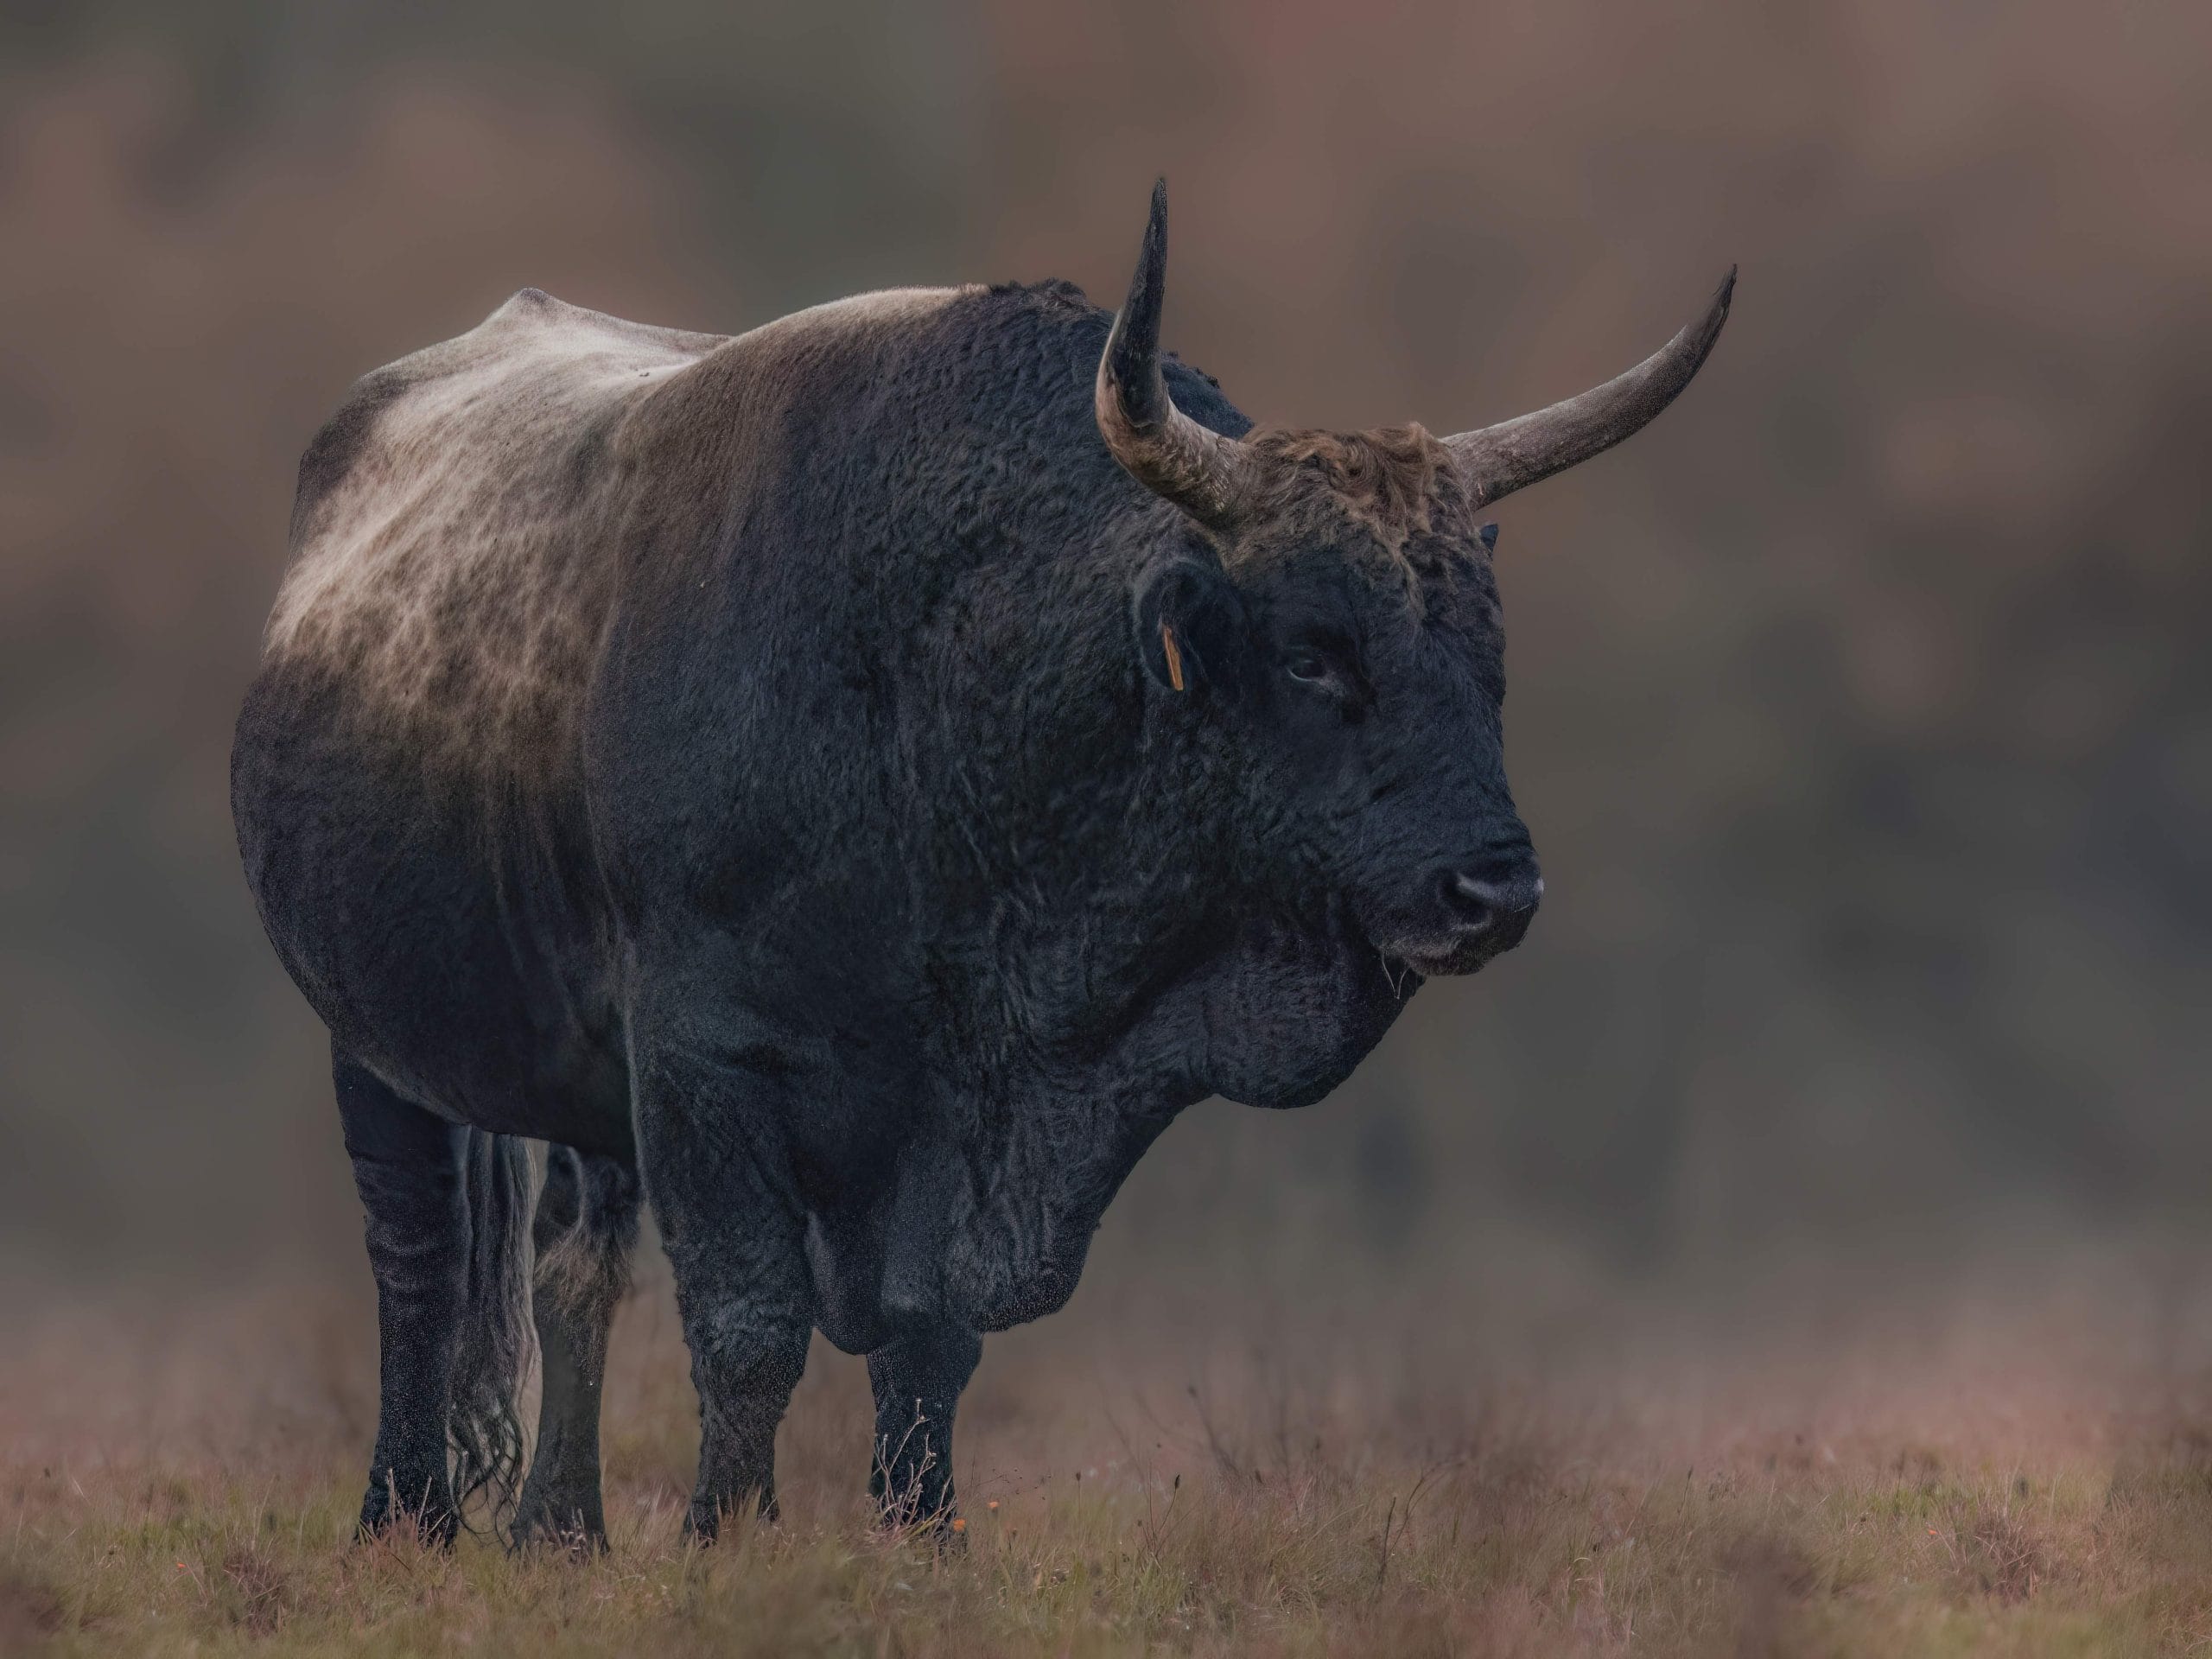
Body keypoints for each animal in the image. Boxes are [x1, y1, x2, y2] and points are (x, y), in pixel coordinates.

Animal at [231, 182, 1730, 1549]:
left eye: (1485, 651)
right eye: (1313, 652)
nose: (1495, 890)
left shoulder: (954, 1112)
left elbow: (927, 1340)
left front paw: (925, 1538)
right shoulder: (707, 1063)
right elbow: (750, 1325)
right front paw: (728, 1539)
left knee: (570, 1262)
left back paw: (559, 1530)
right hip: (378, 1045)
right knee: (421, 1266)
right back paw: (405, 1516)